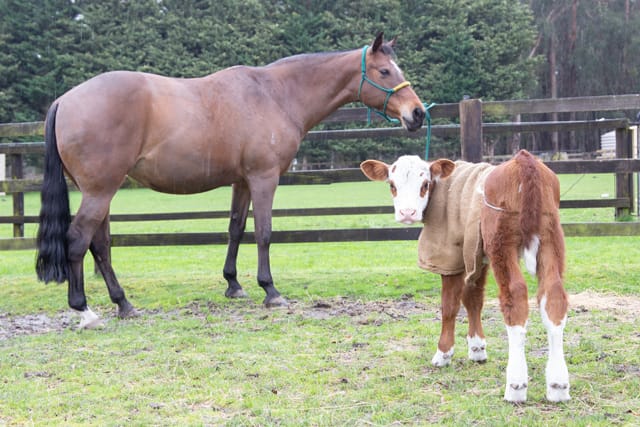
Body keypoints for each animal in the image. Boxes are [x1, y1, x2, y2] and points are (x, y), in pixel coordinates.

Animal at [36, 32, 426, 329]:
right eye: (384, 70)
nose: (418, 113)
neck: (275, 94)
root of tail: (64, 100)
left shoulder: (242, 181)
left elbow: (236, 228)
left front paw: (233, 284)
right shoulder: (264, 178)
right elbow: (264, 232)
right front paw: (271, 291)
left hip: (103, 191)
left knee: (100, 245)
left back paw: (123, 303)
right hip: (100, 191)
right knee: (77, 240)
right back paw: (84, 309)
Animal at [360, 150, 570, 403]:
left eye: (424, 184)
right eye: (392, 184)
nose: (407, 213)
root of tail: (524, 161)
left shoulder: (450, 255)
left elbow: (449, 305)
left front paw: (443, 353)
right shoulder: (476, 255)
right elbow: (473, 299)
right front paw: (477, 348)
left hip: (502, 243)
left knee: (515, 297)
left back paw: (516, 386)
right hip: (550, 238)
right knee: (554, 296)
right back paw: (558, 385)